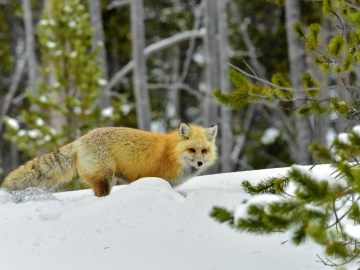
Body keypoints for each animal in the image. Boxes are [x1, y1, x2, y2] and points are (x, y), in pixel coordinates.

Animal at [0, 123, 217, 196]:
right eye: (192, 150)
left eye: (204, 151)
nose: (200, 163)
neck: (172, 153)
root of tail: (81, 139)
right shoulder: (158, 179)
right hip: (104, 178)